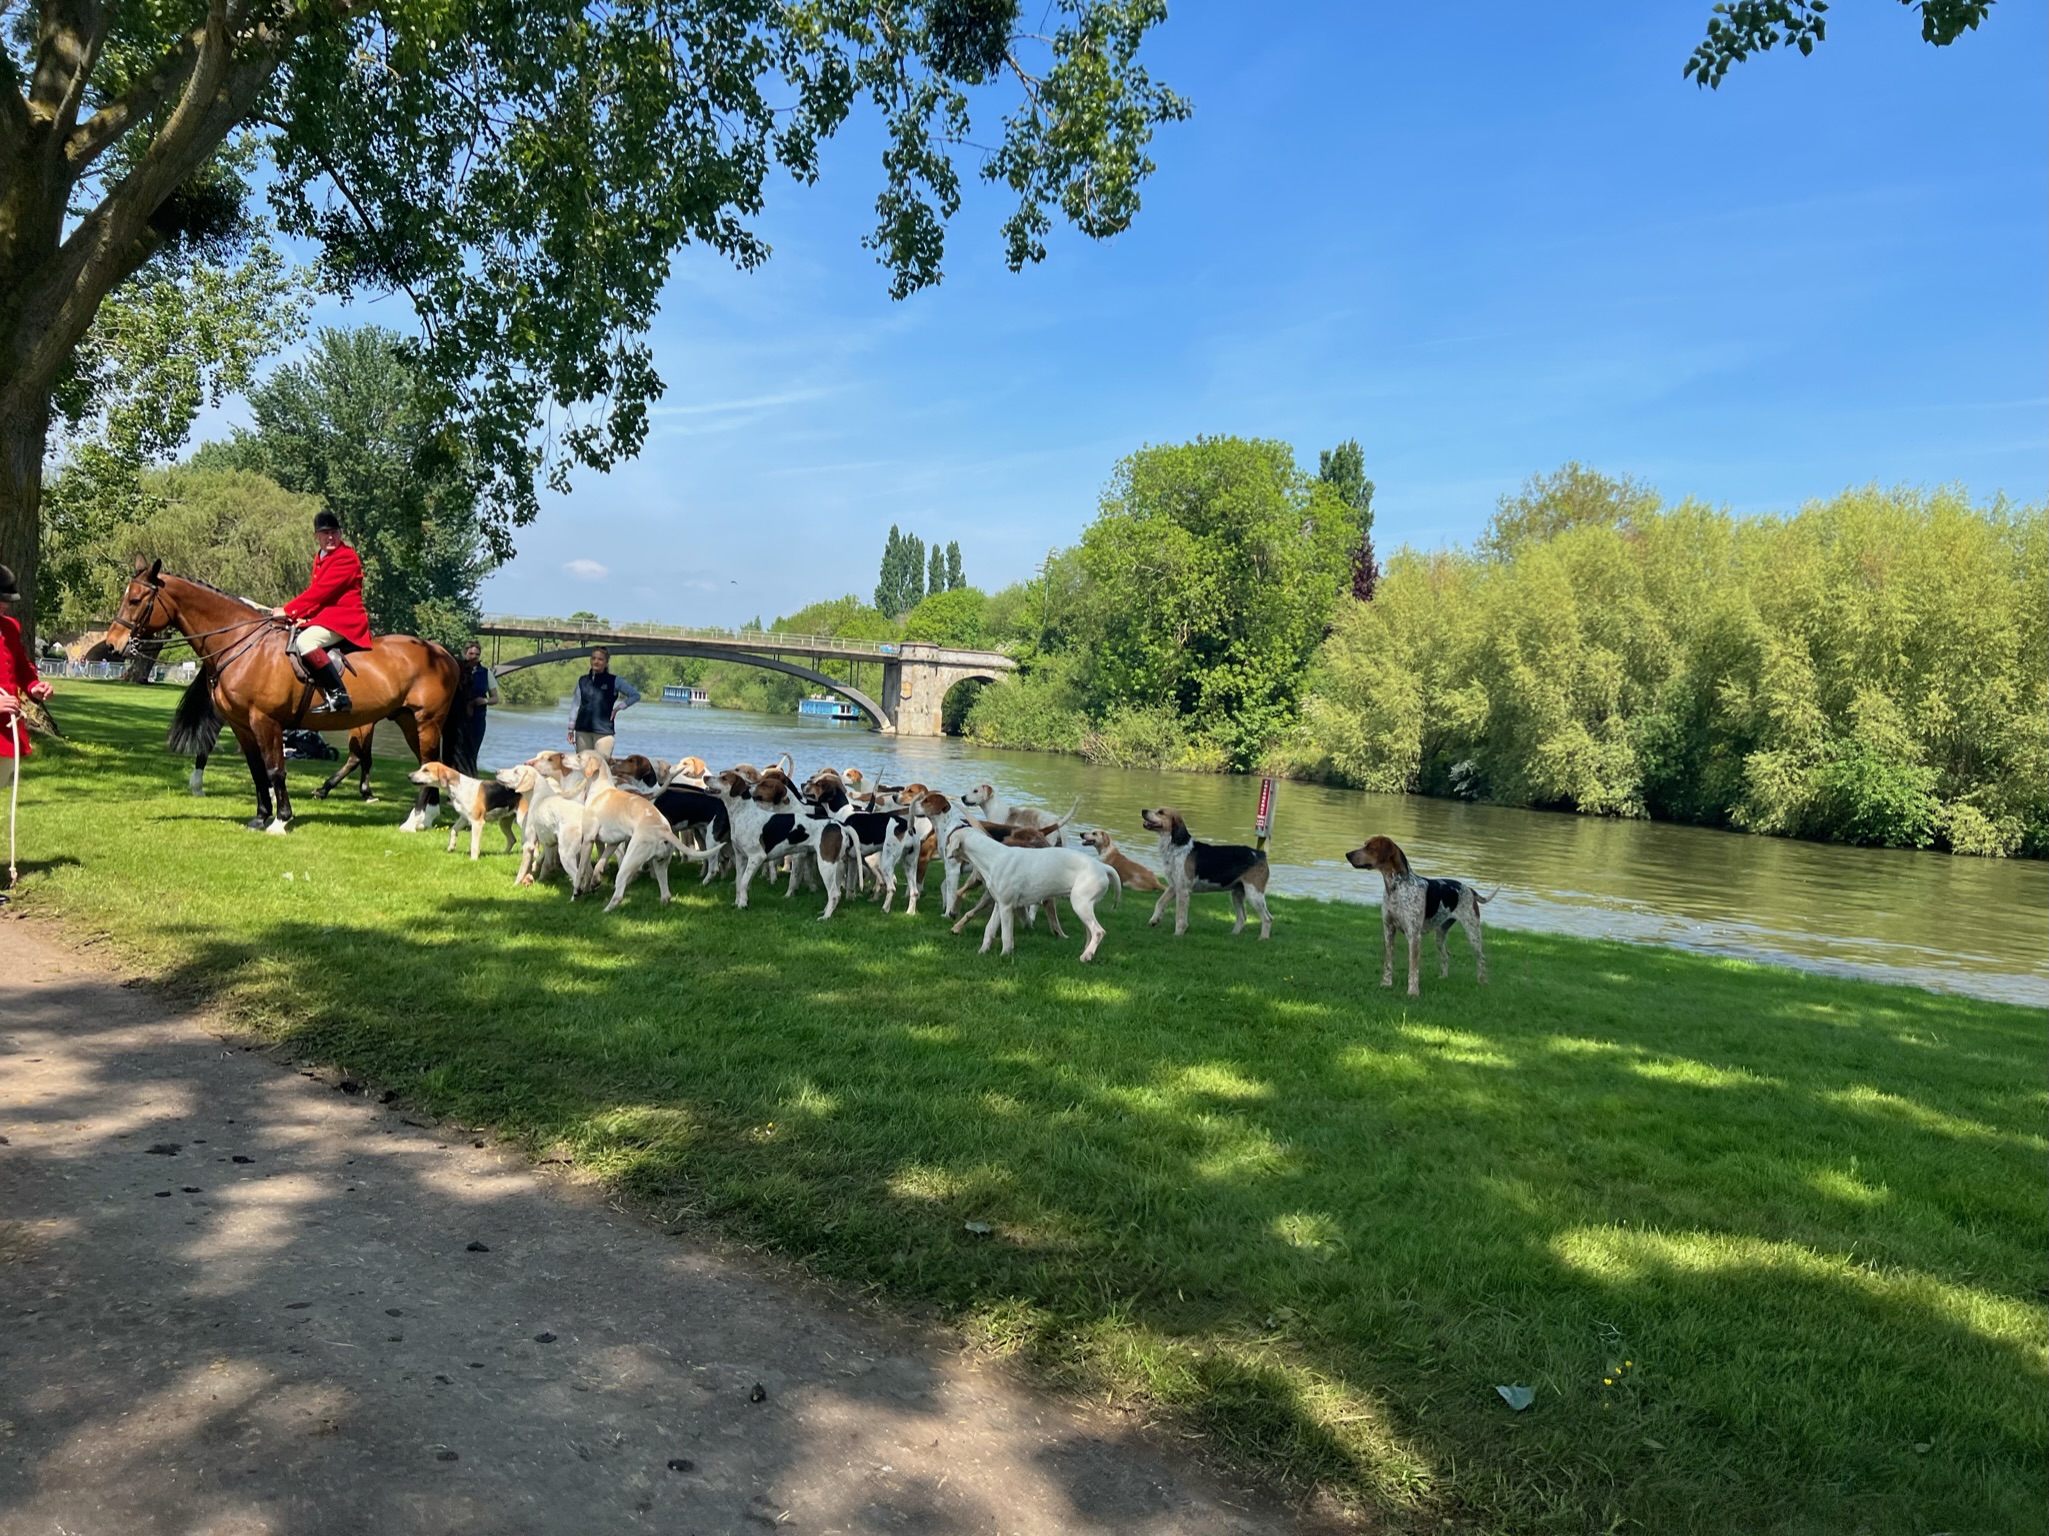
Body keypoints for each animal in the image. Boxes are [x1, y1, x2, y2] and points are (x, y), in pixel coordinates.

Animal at [106, 561, 472, 833]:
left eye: (136, 600)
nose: (112, 644)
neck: (243, 642)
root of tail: (442, 653)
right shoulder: (241, 724)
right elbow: (257, 770)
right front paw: (260, 816)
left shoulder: (264, 720)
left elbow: (275, 770)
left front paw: (280, 820)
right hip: (408, 721)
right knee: (425, 763)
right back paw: (425, 818)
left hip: (425, 722)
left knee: (425, 763)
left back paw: (413, 821)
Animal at [943, 824, 1120, 963]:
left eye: (950, 840)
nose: (944, 850)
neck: (993, 857)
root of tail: (1103, 867)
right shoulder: (999, 905)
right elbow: (989, 929)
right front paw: (982, 951)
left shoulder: (1006, 907)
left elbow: (1006, 935)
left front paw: (1005, 954)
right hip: (1083, 907)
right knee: (1090, 932)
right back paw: (1087, 954)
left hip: (1080, 904)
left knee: (1098, 931)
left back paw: (1085, 956)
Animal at [1139, 807, 1271, 939]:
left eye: (1161, 812)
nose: (1143, 811)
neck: (1177, 846)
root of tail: (1260, 854)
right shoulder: (1173, 886)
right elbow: (1160, 902)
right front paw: (1154, 920)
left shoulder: (1183, 891)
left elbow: (1180, 917)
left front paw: (1178, 934)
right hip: (1237, 894)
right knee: (1242, 917)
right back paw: (1232, 935)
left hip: (1254, 894)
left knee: (1267, 918)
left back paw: (1263, 939)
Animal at [1346, 835, 1495, 995]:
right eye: (1365, 845)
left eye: (1370, 847)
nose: (1347, 854)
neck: (1397, 887)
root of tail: (1469, 889)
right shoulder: (1388, 930)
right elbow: (1388, 963)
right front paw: (1386, 984)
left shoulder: (1413, 935)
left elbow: (1413, 968)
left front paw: (1413, 992)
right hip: (1440, 936)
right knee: (1446, 956)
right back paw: (1443, 978)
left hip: (1472, 933)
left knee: (1481, 958)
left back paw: (1483, 982)